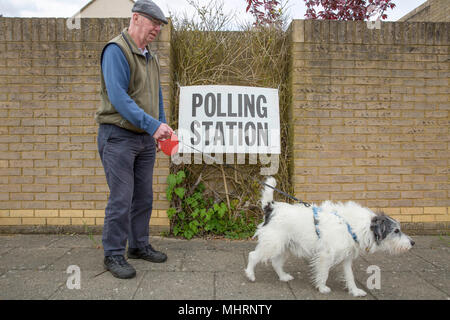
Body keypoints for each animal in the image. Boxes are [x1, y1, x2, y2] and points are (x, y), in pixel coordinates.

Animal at [246, 176, 414, 296]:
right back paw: (250, 274)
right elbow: (324, 272)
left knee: (275, 262)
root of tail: (271, 207)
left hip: (285, 245)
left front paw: (354, 291)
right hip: (272, 244)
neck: (355, 226)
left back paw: (283, 277)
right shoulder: (326, 255)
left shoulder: (347, 257)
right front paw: (322, 287)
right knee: (253, 255)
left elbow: (350, 276)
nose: (412, 243)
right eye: (396, 231)